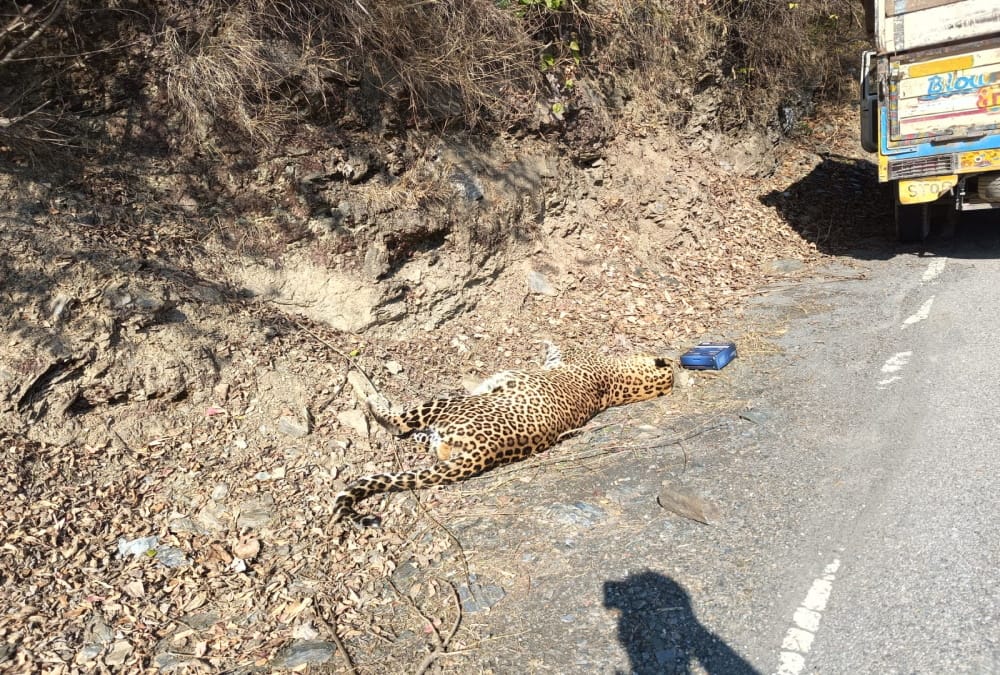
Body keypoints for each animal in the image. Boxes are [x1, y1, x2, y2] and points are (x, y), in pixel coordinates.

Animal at [332, 343, 674, 528]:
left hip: (453, 402)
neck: (620, 386)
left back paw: (370, 397)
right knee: (426, 441)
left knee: (399, 424)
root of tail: (486, 452)